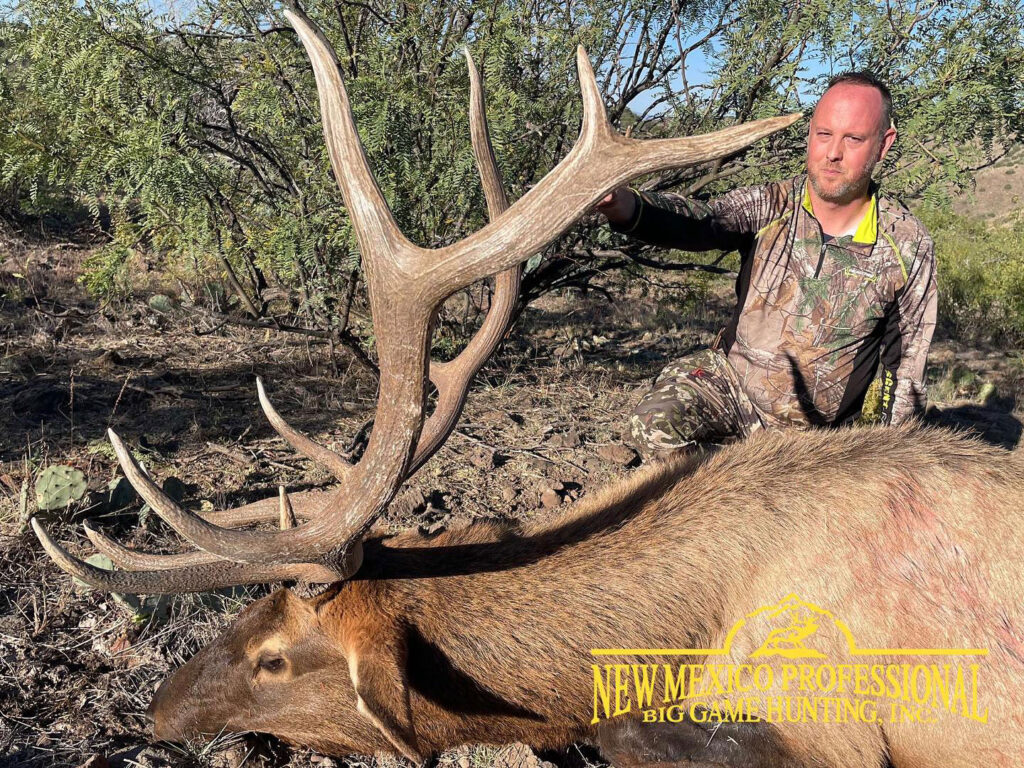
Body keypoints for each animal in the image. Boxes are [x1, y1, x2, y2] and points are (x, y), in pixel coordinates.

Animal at [31, 5, 1024, 768]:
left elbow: (624, 730)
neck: (685, 634)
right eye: (253, 606)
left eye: (274, 658)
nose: (158, 706)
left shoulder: (833, 719)